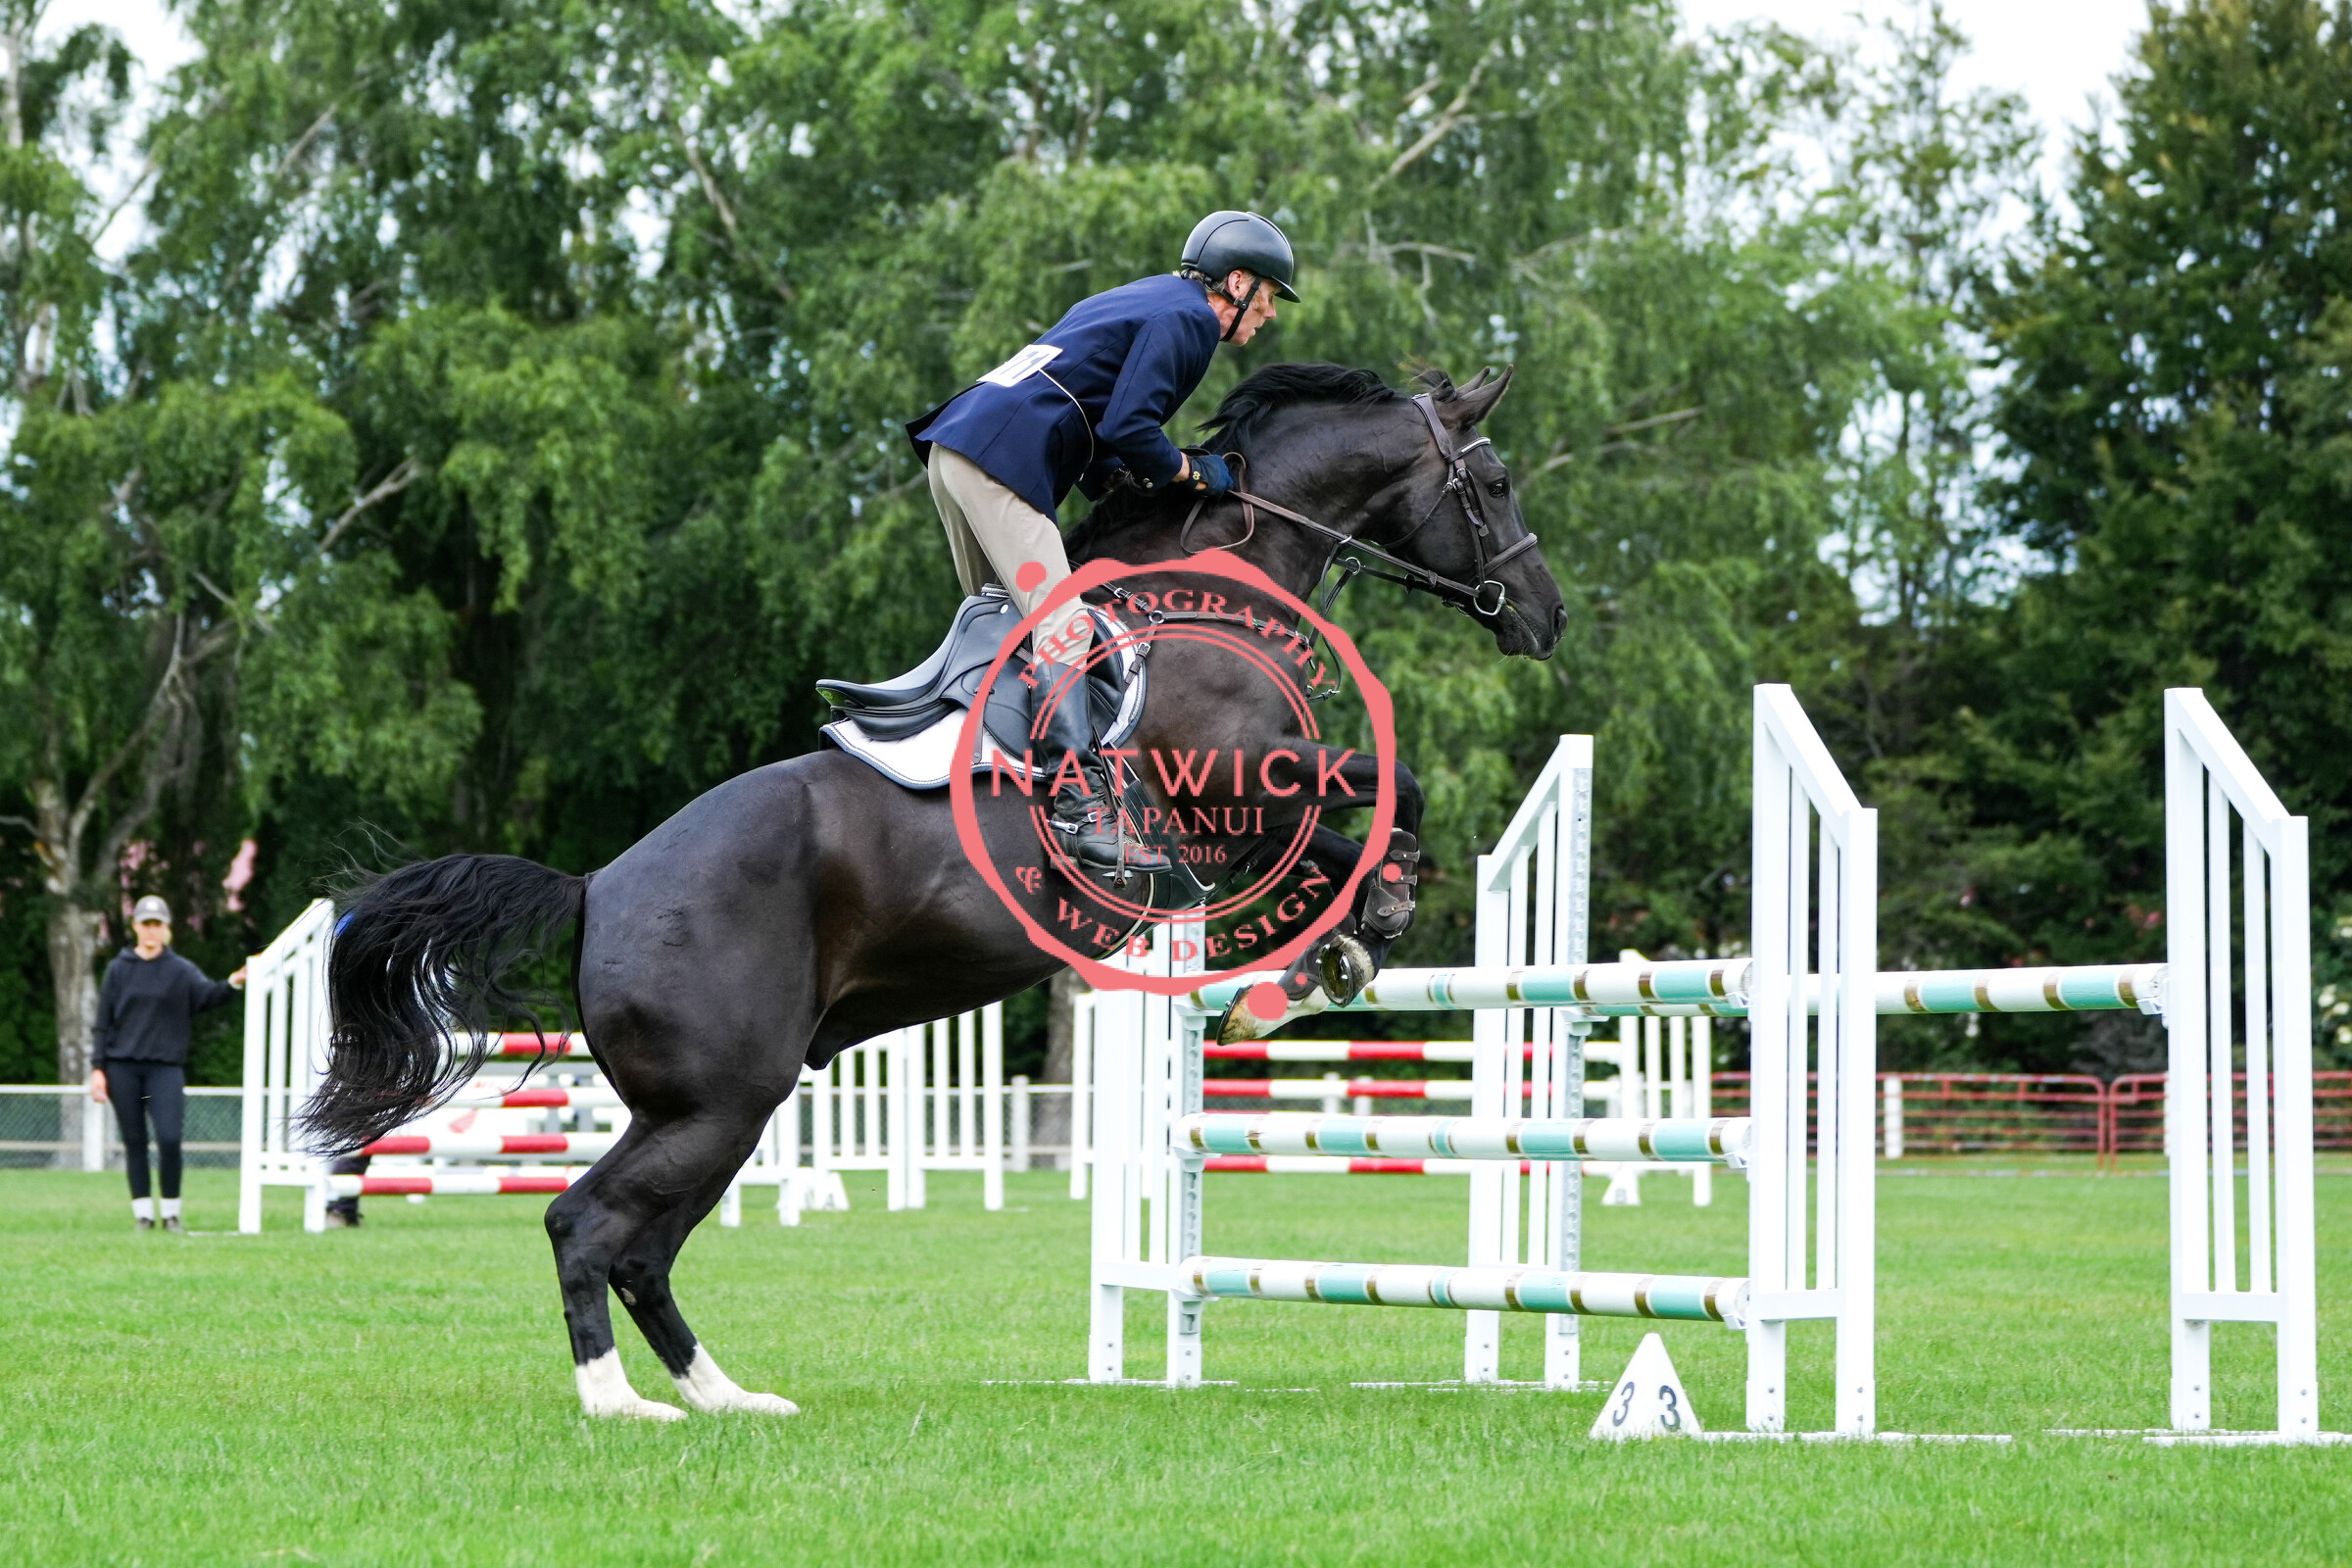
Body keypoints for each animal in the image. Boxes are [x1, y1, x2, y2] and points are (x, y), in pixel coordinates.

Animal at [308, 361, 1566, 1420]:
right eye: (1497, 480)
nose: (1546, 616)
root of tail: (598, 885)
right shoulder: (1236, 783)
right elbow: (1389, 789)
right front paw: (1364, 927)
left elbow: (1342, 833)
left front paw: (1331, 951)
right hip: (718, 1101)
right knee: (590, 1225)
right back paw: (623, 1403)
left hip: (710, 1111)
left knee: (640, 1250)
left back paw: (729, 1397)